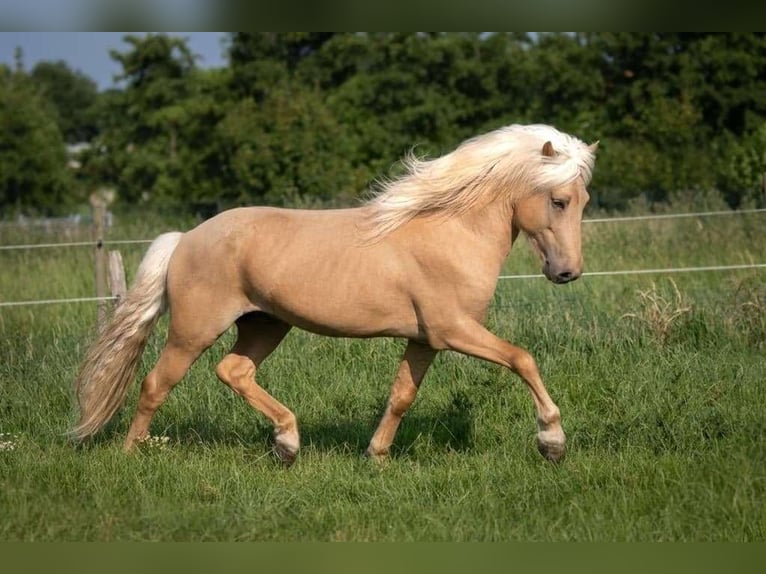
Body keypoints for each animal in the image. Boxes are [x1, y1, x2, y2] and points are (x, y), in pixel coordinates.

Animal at [70, 124, 600, 466]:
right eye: (558, 201)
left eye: (584, 201)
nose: (567, 272)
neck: (451, 231)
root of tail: (185, 238)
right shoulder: (455, 330)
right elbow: (522, 358)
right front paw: (552, 442)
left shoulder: (425, 339)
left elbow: (402, 396)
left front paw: (377, 456)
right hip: (193, 330)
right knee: (155, 384)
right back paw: (131, 456)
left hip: (266, 324)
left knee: (233, 371)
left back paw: (287, 443)